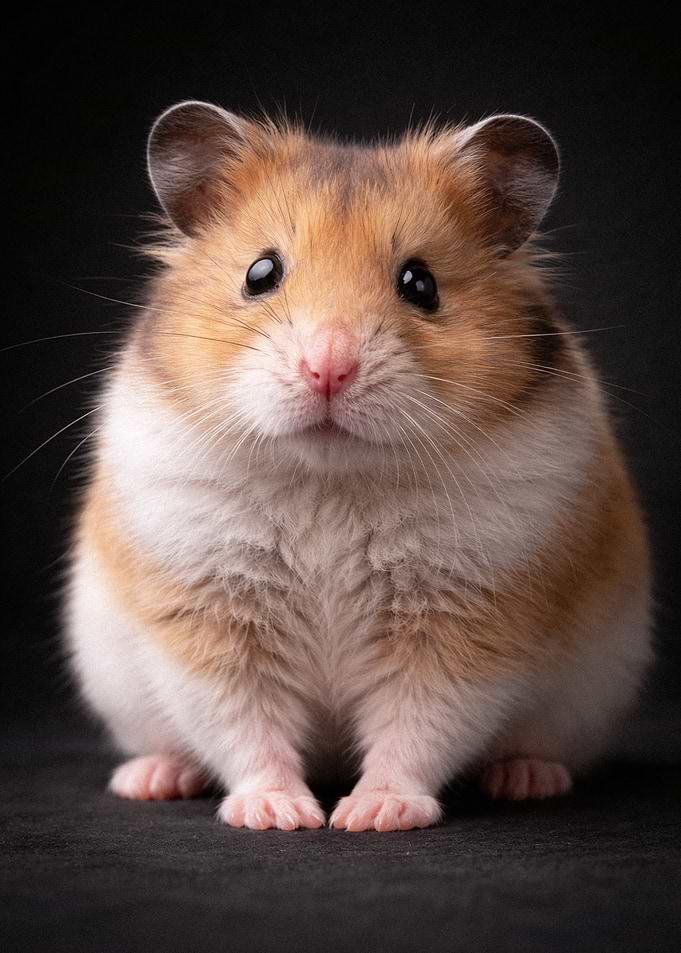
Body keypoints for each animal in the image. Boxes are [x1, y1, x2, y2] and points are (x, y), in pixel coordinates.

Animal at [66, 101, 653, 831]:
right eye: (260, 273)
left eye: (420, 283)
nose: (328, 368)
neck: (332, 477)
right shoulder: (211, 615)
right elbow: (243, 723)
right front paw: (278, 814)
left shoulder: (462, 620)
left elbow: (419, 725)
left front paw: (372, 814)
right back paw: (150, 777)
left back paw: (524, 778)